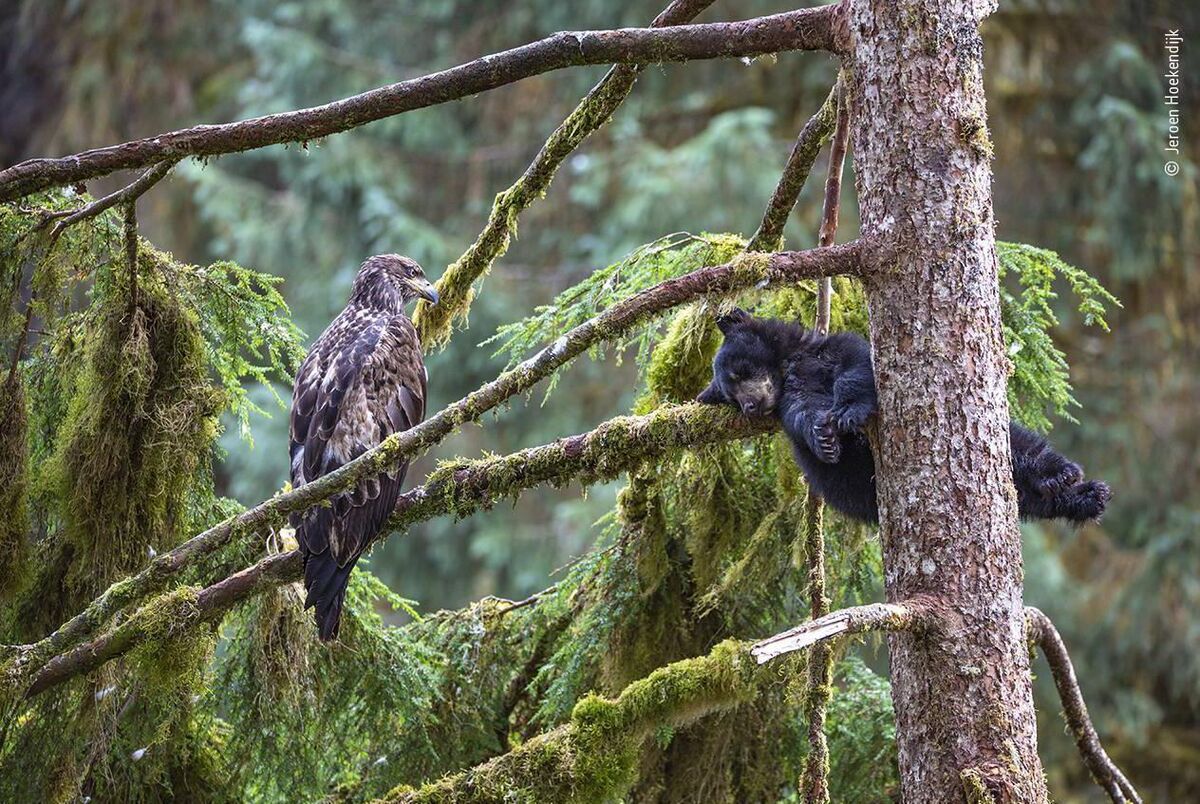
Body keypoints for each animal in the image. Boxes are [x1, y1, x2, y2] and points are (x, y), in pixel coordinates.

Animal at [696, 308, 1111, 525]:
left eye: (741, 371)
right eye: (730, 396)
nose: (750, 406)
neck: (791, 365)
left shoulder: (827, 351)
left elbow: (856, 365)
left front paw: (848, 413)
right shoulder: (790, 399)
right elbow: (802, 414)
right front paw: (825, 438)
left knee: (1020, 449)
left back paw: (1066, 478)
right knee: (1027, 498)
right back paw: (1080, 498)